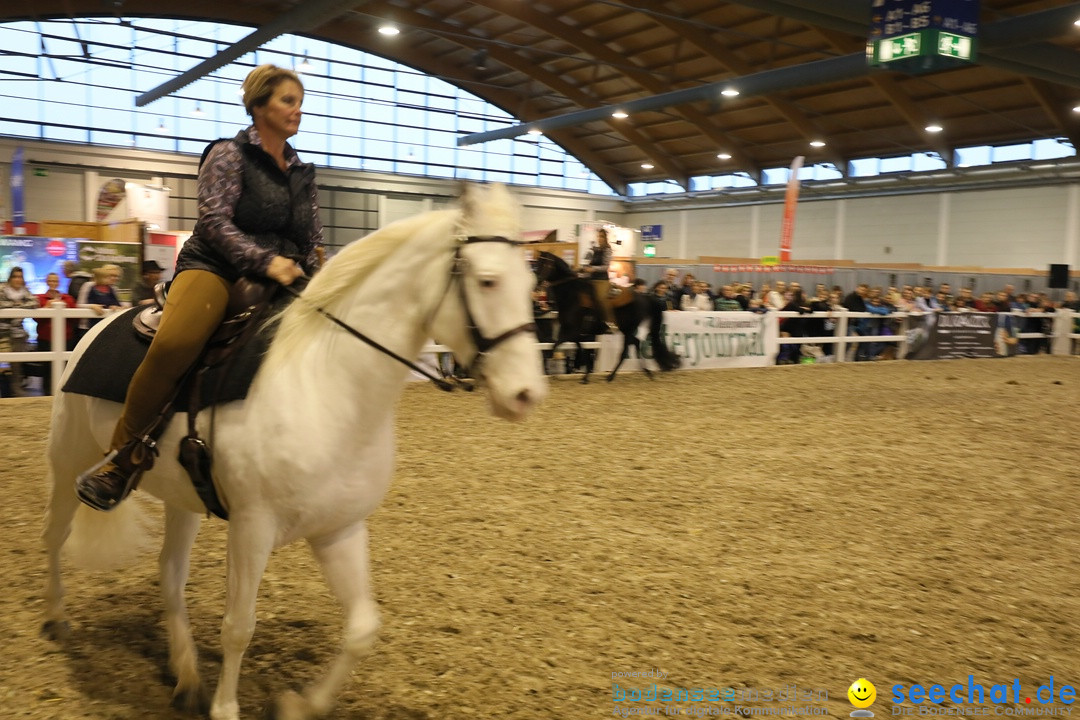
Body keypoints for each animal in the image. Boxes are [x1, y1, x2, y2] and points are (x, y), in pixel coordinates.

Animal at [42, 183, 548, 720]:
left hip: (183, 501)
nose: (526, 395)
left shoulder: (338, 529)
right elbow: (238, 626)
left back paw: (187, 677)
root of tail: (97, 325)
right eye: (488, 281)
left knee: (171, 574)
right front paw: (228, 709)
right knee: (55, 536)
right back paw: (57, 620)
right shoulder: (252, 528)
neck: (329, 385)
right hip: (68, 462)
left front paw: (299, 705)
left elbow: (362, 628)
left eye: (530, 281)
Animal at [535, 252, 678, 379]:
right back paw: (645, 372)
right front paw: (585, 375)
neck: (572, 294)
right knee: (635, 342)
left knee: (626, 349)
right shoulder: (573, 332)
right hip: (626, 329)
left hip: (628, 328)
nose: (537, 283)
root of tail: (644, 297)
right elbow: (579, 348)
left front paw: (549, 372)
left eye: (544, 263)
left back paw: (611, 376)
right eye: (537, 263)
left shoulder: (571, 331)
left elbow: (555, 346)